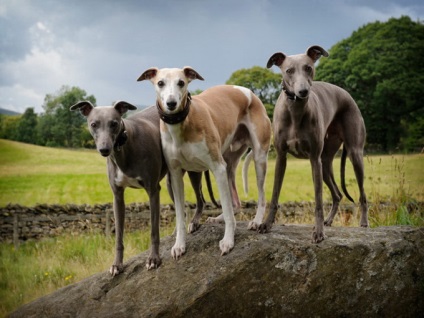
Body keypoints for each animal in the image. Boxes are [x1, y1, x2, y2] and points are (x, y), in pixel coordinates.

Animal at [139, 67, 272, 258]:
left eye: (181, 82)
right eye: (160, 83)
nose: (171, 103)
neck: (182, 124)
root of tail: (250, 93)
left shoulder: (217, 168)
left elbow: (227, 209)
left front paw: (228, 242)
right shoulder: (175, 176)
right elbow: (180, 215)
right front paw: (179, 245)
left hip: (258, 157)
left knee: (258, 197)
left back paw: (256, 221)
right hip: (228, 163)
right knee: (235, 204)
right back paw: (217, 218)